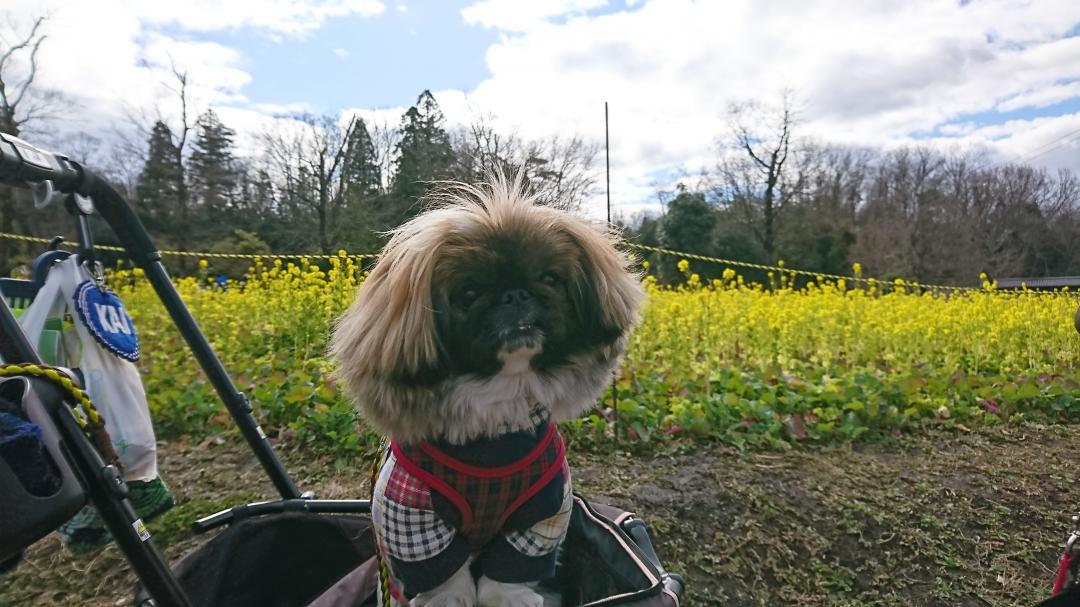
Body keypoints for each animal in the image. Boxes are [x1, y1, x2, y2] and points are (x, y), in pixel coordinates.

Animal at [330, 171, 639, 604]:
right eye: (469, 294)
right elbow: (444, 574)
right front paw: (450, 599)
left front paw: (510, 599)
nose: (515, 294)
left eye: (550, 279)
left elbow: (510, 571)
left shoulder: (543, 509)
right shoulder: (410, 516)